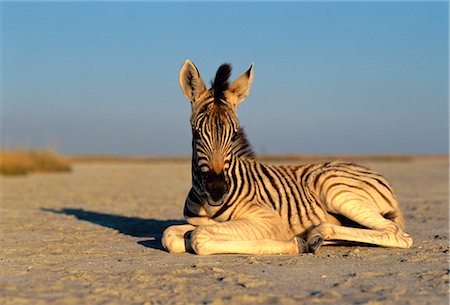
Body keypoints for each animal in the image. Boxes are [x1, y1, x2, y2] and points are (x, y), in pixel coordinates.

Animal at [163, 60, 414, 254]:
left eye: (234, 134)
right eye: (196, 133)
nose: (217, 190)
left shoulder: (267, 221)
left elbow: (199, 237)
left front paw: (293, 243)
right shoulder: (195, 223)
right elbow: (170, 235)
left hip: (332, 187)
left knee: (396, 233)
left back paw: (318, 233)